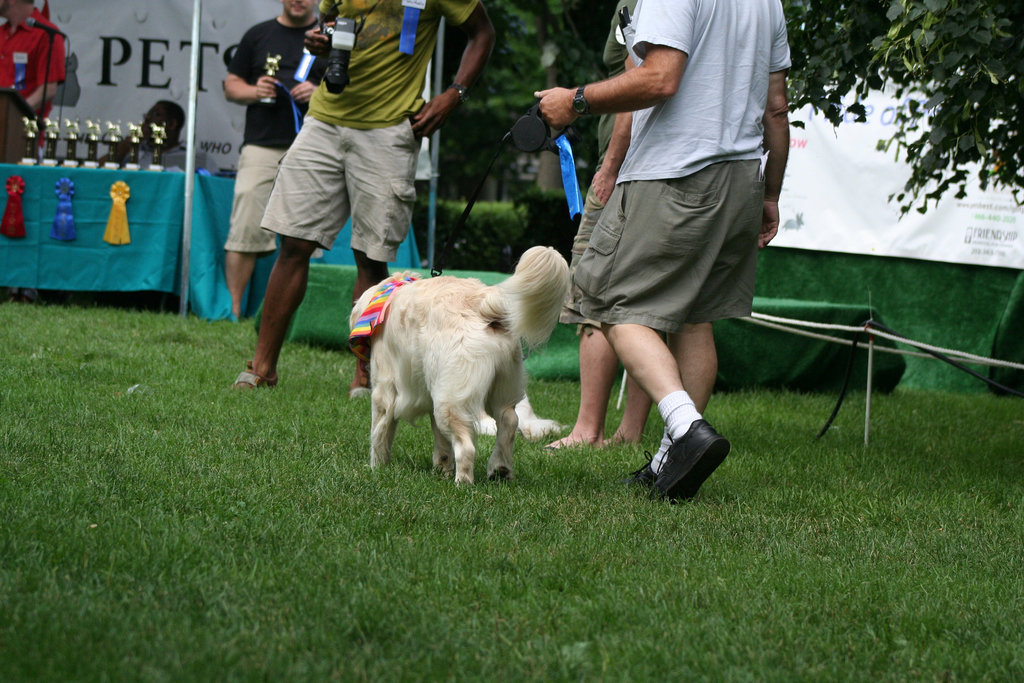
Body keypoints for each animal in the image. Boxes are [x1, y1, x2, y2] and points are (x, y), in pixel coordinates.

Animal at [350, 248, 573, 483]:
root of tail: (484, 303)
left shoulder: (384, 392)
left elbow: (379, 434)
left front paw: (376, 468)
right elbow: (440, 442)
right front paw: (441, 469)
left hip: (451, 400)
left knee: (466, 447)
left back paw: (463, 482)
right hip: (498, 389)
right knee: (509, 422)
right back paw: (500, 469)